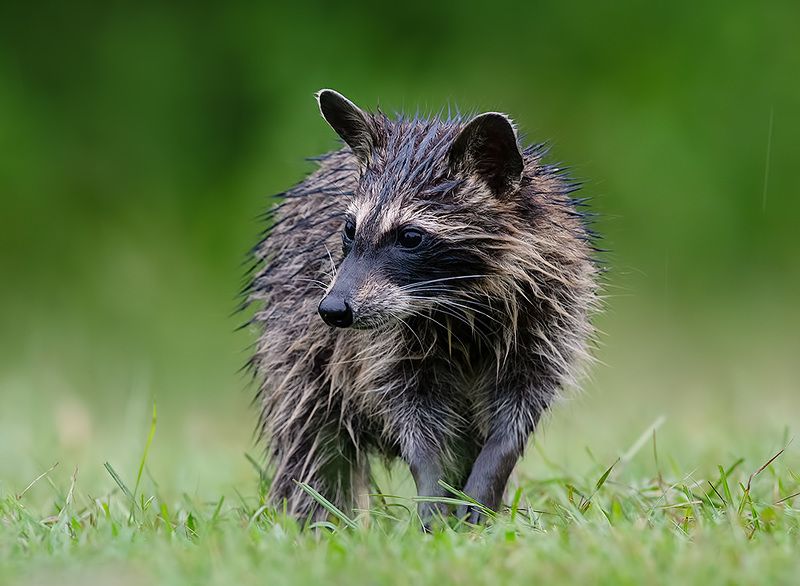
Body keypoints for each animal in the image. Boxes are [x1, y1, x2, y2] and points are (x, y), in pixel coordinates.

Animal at [245, 90, 599, 525]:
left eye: (410, 237)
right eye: (349, 229)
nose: (332, 310)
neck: (458, 301)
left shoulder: (548, 313)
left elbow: (516, 417)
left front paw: (484, 486)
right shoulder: (383, 346)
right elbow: (413, 418)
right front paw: (434, 493)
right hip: (294, 345)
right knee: (311, 439)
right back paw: (317, 518)